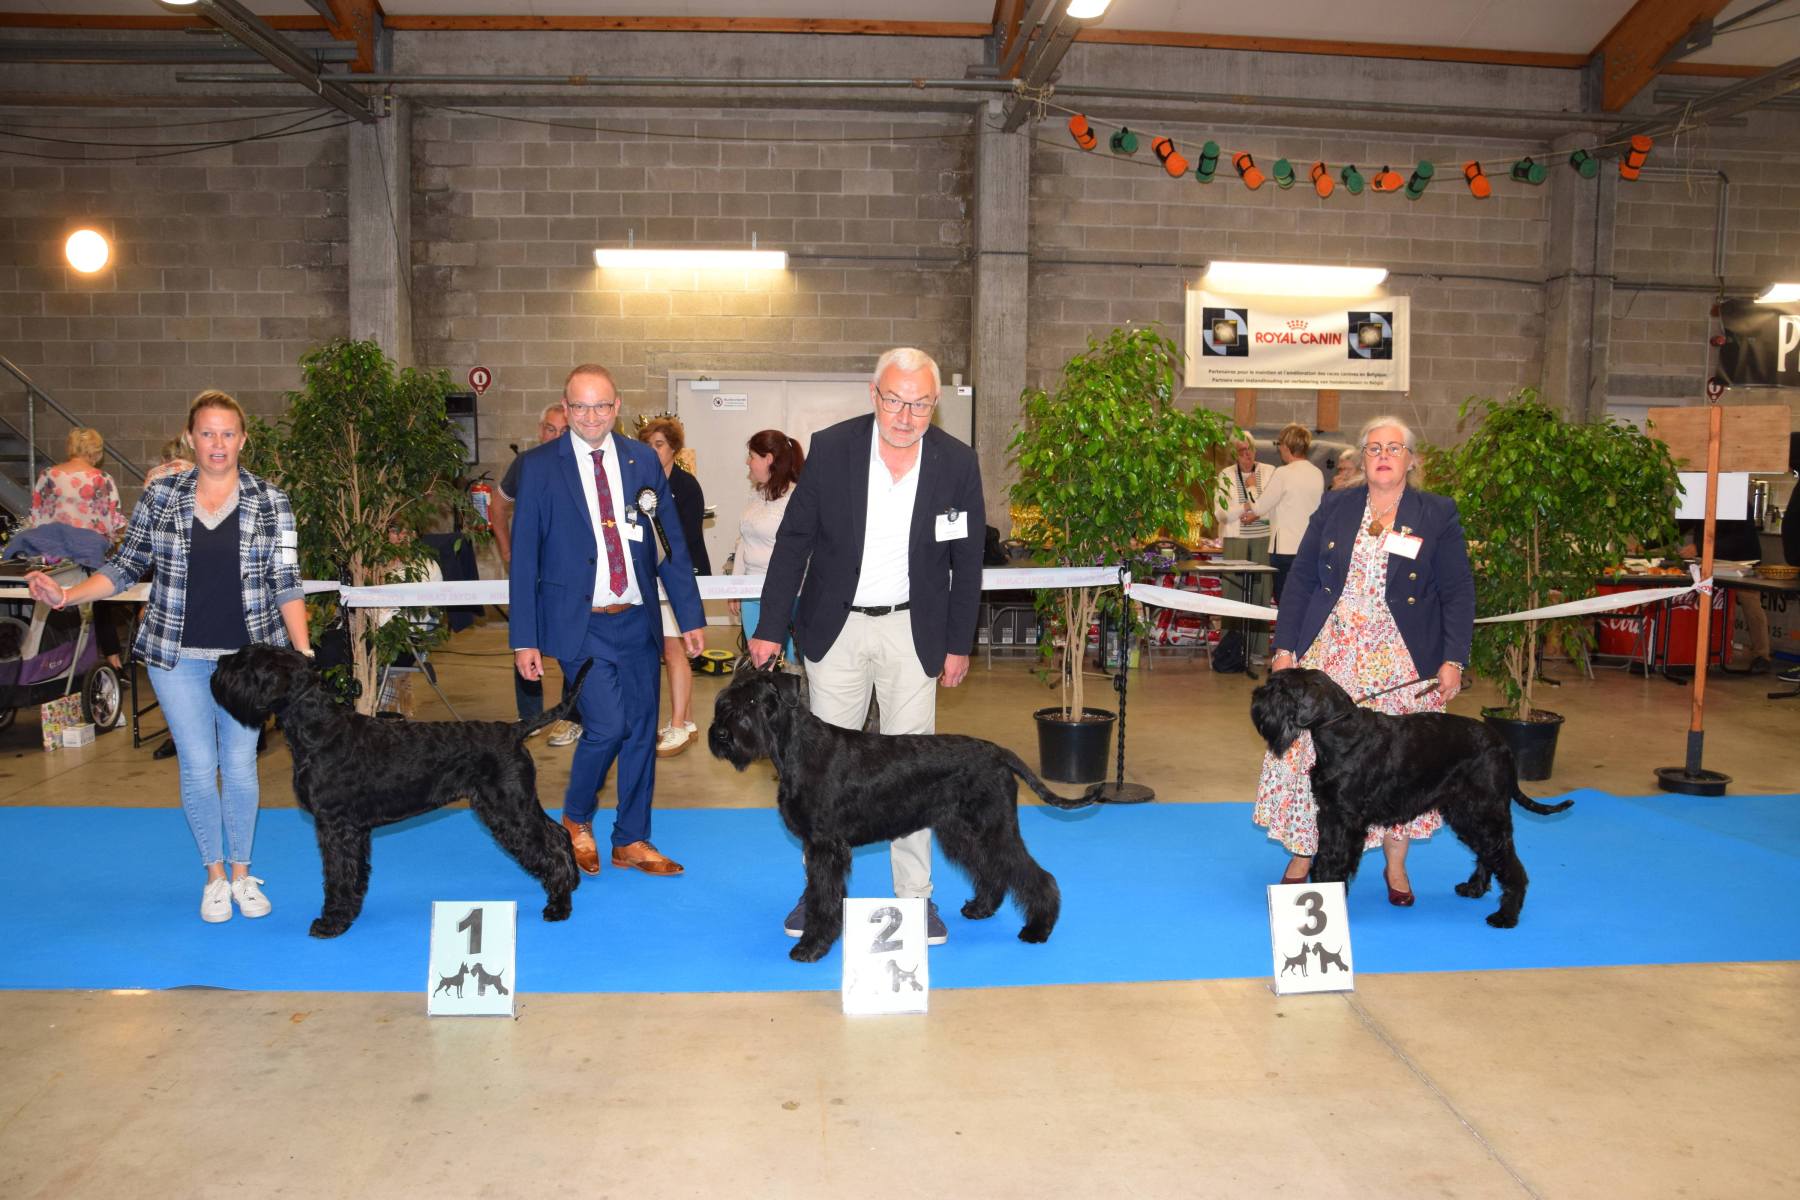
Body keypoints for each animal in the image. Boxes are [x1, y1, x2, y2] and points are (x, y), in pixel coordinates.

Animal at [211, 644, 589, 939]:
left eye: (248, 663)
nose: (218, 665)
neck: (319, 730)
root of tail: (514, 731)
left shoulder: (334, 825)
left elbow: (336, 873)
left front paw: (331, 921)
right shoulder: (353, 828)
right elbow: (353, 870)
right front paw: (351, 907)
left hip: (509, 809)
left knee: (549, 847)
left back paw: (559, 906)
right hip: (517, 803)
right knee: (557, 834)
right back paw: (571, 884)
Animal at [708, 667, 1104, 962]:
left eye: (754, 701)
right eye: (724, 701)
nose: (722, 735)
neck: (797, 748)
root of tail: (998, 753)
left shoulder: (825, 847)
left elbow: (823, 898)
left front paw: (812, 946)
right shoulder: (818, 846)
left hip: (993, 828)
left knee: (1034, 874)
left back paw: (1038, 928)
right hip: (962, 832)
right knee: (992, 870)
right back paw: (981, 908)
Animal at [1250, 668, 1573, 927]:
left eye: (1281, 689)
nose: (1256, 698)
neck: (1340, 732)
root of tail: (1504, 746)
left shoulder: (1345, 820)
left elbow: (1336, 860)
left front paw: (1329, 899)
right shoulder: (1330, 814)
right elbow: (1325, 856)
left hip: (1484, 812)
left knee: (1508, 862)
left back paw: (1506, 915)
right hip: (1467, 814)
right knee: (1488, 853)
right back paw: (1474, 889)